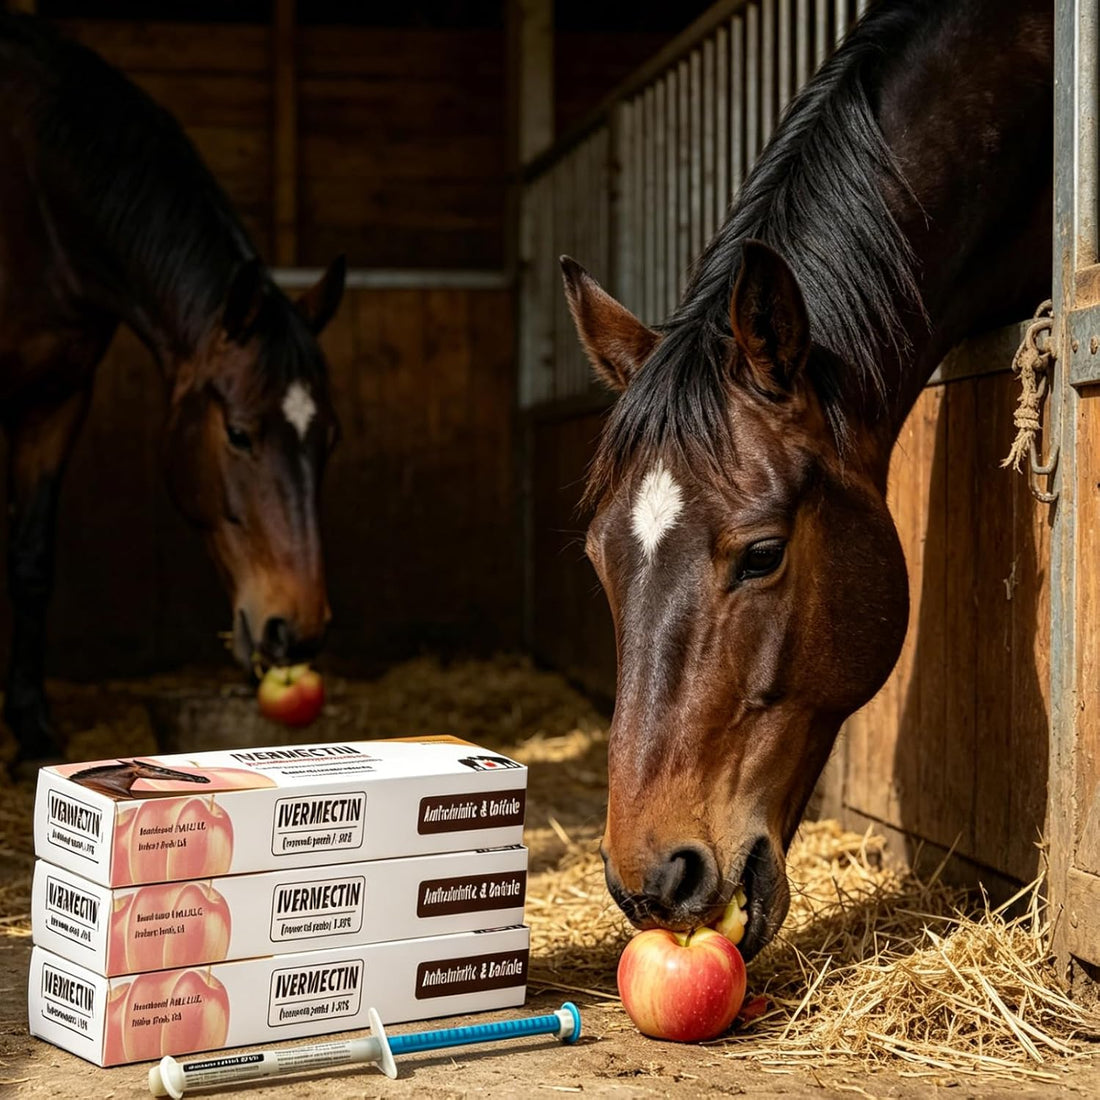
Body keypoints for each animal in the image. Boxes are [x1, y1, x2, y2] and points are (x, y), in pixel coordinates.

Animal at [0, 15, 346, 763]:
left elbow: (31, 561)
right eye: (238, 433)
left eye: (328, 440)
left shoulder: (58, 399)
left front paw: (33, 727)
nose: (297, 631)